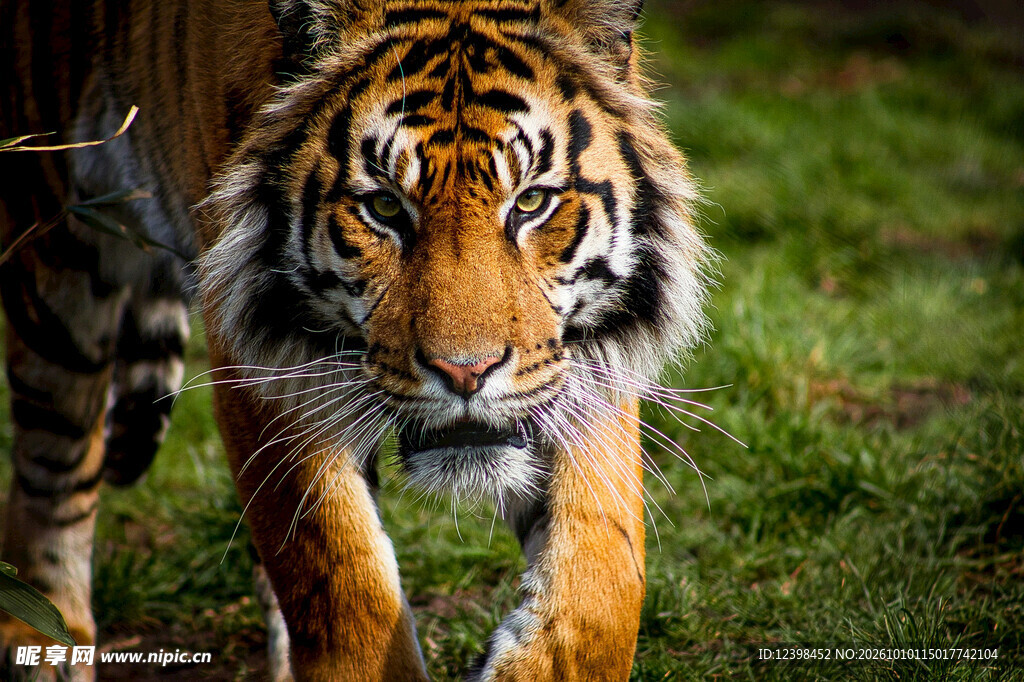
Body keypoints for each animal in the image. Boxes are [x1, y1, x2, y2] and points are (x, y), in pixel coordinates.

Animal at [0, 0, 713, 679]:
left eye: (532, 202)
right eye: (386, 208)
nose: (467, 372)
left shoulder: (579, 370)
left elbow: (603, 583)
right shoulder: (267, 365)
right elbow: (342, 580)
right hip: (57, 251)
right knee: (52, 470)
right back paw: (47, 639)